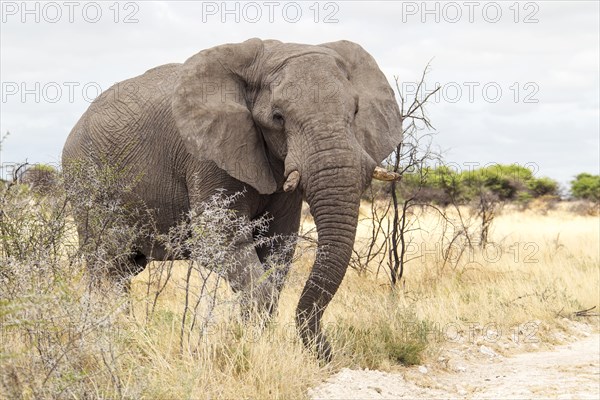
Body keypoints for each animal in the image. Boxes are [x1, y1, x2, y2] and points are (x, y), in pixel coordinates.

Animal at [62, 38, 404, 362]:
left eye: (356, 111)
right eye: (278, 117)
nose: (326, 357)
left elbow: (277, 245)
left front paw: (253, 341)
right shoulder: (206, 154)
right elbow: (220, 240)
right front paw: (250, 345)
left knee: (125, 269)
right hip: (85, 180)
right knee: (105, 265)